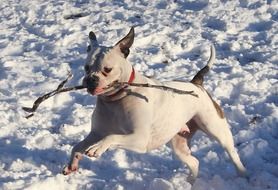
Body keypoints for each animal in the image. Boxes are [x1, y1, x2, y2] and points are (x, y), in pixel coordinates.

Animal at [62, 27, 245, 183]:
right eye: (86, 68)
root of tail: (196, 84)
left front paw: (98, 148)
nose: (90, 80)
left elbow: (112, 137)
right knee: (194, 162)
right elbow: (77, 146)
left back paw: (243, 175)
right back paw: (190, 182)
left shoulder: (139, 139)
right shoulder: (96, 133)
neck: (116, 99)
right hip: (179, 144)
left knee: (233, 155)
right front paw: (72, 163)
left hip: (217, 130)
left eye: (107, 69)